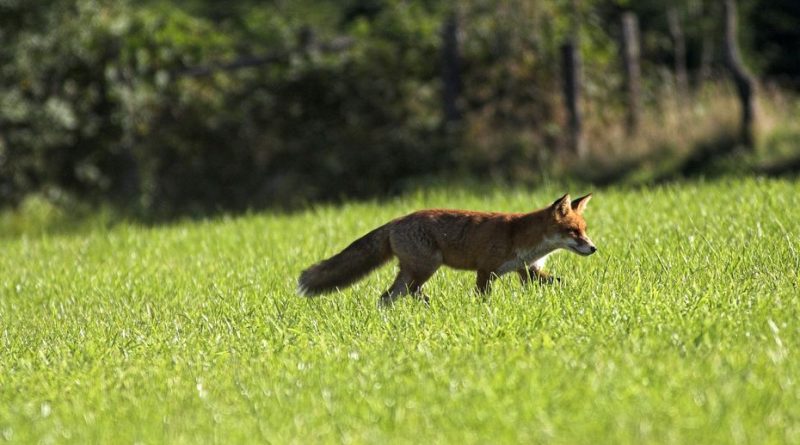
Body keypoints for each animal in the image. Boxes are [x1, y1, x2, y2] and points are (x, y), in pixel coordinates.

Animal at [297, 193, 596, 306]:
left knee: (388, 296)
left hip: (413, 271)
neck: (522, 237)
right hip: (426, 267)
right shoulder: (486, 270)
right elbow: (483, 297)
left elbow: (559, 282)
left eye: (584, 229)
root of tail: (395, 221)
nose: (593, 248)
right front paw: (483, 312)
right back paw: (428, 306)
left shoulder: (528, 272)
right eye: (573, 231)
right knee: (406, 292)